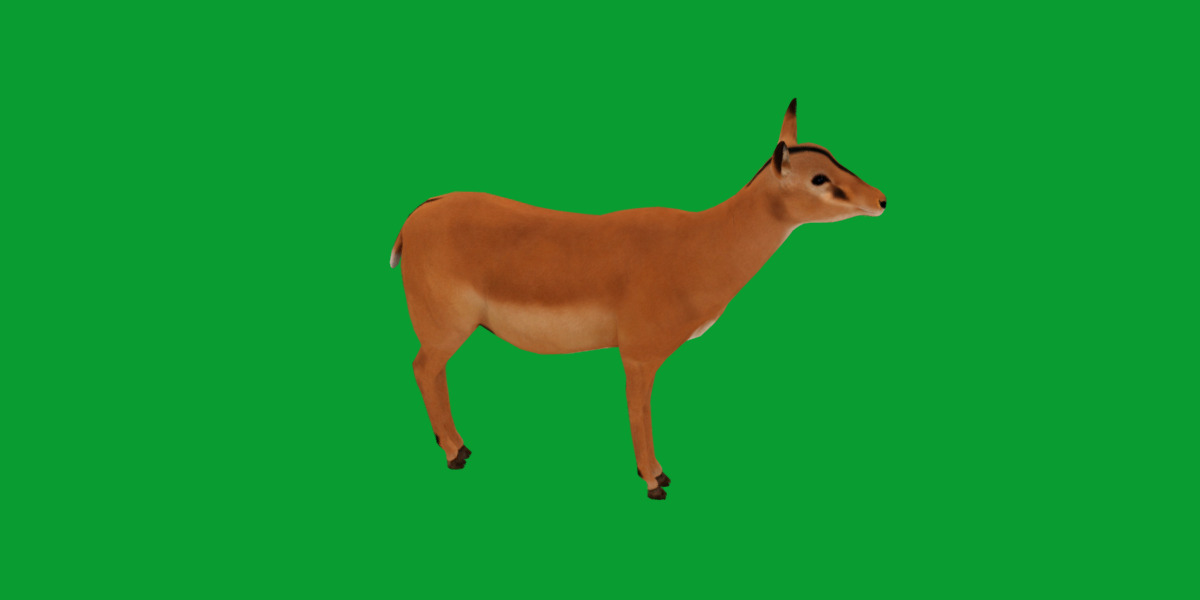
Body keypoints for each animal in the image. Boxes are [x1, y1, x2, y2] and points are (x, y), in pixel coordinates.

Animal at [390, 99, 886, 500]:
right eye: (819, 177)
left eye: (835, 157)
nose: (881, 200)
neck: (699, 247)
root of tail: (414, 218)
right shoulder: (639, 357)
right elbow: (639, 410)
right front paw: (655, 480)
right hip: (445, 329)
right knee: (422, 368)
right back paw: (455, 454)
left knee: (431, 372)